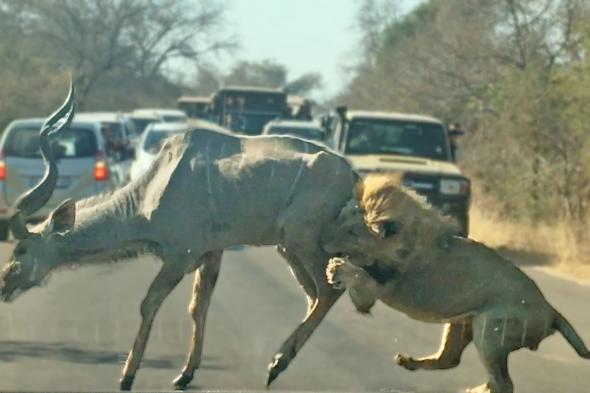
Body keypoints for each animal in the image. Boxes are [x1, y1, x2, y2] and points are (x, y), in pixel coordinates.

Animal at [0, 84, 356, 388]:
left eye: (21, 250)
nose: (4, 284)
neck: (151, 192)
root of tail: (351, 175)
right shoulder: (212, 252)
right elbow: (198, 305)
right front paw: (185, 374)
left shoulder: (180, 256)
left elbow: (149, 302)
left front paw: (127, 376)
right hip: (288, 248)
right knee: (313, 294)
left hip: (302, 240)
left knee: (329, 290)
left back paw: (277, 363)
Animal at [324, 174, 590, 392]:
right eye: (338, 217)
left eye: (352, 232)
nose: (323, 240)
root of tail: (550, 309)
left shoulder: (378, 288)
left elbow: (361, 277)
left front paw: (337, 268)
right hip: (462, 323)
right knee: (450, 360)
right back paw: (411, 362)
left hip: (490, 331)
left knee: (503, 383)